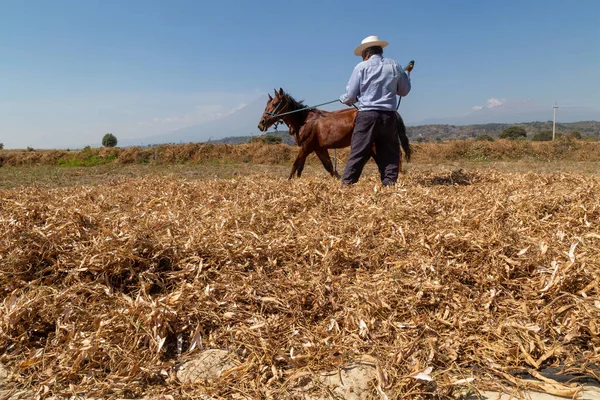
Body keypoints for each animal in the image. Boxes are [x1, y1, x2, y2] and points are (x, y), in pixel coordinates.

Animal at [255, 90, 410, 180]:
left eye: (275, 103)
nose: (261, 124)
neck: (304, 120)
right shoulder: (318, 149)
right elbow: (327, 166)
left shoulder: (306, 147)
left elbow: (295, 165)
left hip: (374, 144)